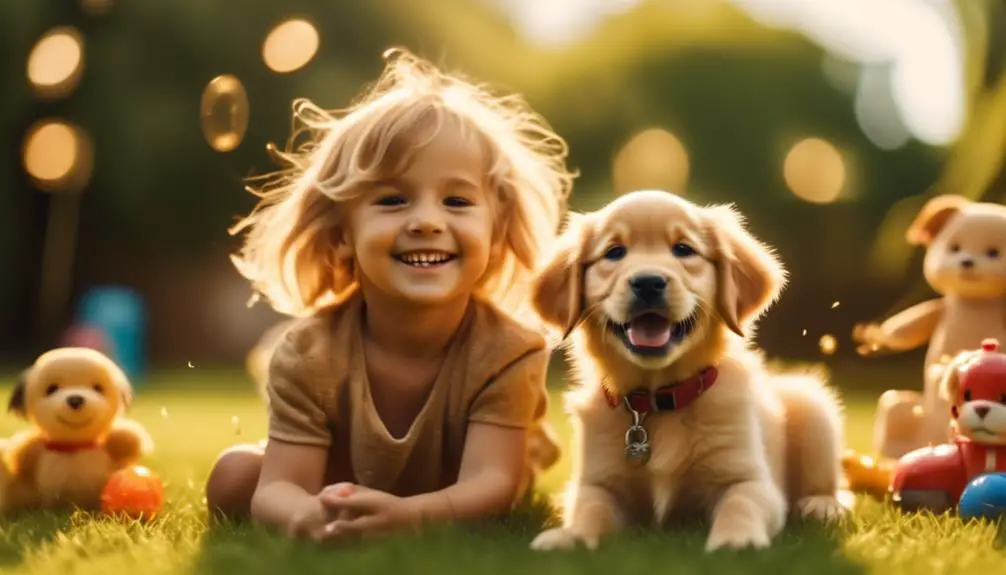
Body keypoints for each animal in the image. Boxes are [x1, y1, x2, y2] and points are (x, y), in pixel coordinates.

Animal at [531, 192, 845, 550]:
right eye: (614, 252)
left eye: (683, 249)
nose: (648, 282)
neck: (658, 401)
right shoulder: (598, 481)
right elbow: (590, 508)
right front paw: (570, 537)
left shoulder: (748, 478)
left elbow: (741, 503)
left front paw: (736, 540)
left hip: (813, 407)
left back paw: (821, 505)